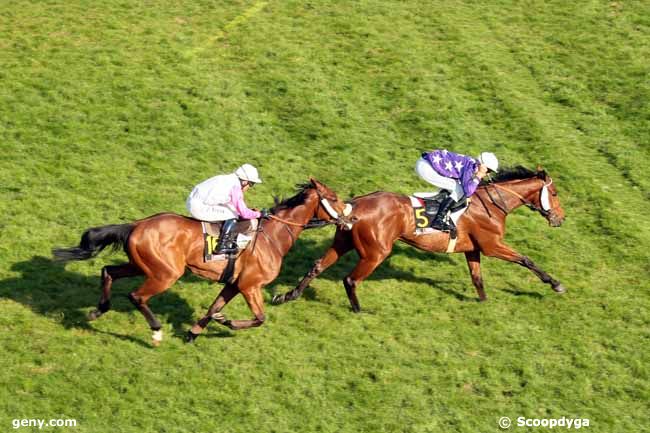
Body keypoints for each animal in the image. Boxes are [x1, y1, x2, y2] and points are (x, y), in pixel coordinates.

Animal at [53, 177, 350, 342]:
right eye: (334, 198)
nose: (350, 217)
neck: (273, 236)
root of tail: (136, 225)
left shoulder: (233, 284)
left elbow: (212, 308)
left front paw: (194, 332)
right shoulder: (250, 286)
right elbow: (260, 318)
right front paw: (226, 322)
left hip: (140, 265)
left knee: (108, 271)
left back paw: (97, 310)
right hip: (166, 274)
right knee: (137, 296)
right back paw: (156, 331)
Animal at [270, 166, 564, 310]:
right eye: (555, 193)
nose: (560, 218)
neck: (493, 204)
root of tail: (352, 206)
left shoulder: (473, 249)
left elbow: (477, 277)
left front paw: (483, 303)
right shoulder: (492, 245)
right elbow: (526, 259)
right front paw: (556, 284)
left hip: (343, 242)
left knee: (317, 266)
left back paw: (287, 296)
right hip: (376, 252)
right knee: (350, 279)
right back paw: (359, 310)